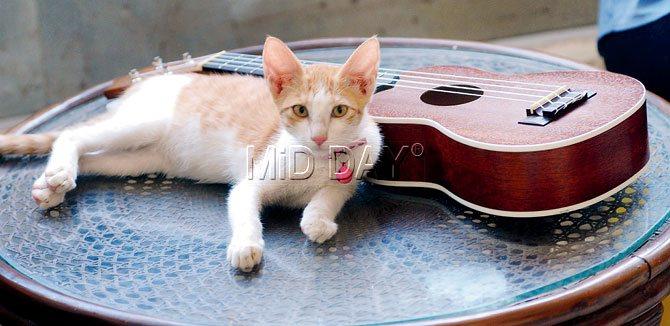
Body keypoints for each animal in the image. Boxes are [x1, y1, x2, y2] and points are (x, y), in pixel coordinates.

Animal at [0, 35, 384, 272]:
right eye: (300, 110)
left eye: (339, 111)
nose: (319, 137)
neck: (316, 161)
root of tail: (146, 82)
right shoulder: (251, 181)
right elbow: (245, 209)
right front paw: (246, 245)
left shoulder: (357, 168)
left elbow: (332, 194)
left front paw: (317, 219)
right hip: (143, 124)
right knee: (73, 134)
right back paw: (59, 174)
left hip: (142, 158)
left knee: (96, 159)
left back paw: (50, 188)